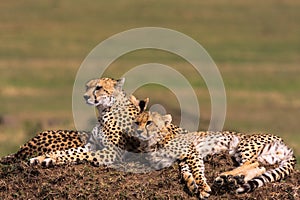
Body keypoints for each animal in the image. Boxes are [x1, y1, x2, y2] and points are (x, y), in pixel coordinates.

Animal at [134, 111, 298, 199]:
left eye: (149, 122)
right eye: (137, 122)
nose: (138, 131)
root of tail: (286, 145)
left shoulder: (193, 152)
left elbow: (197, 171)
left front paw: (203, 188)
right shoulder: (184, 159)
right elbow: (186, 172)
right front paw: (192, 185)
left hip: (243, 144)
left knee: (254, 163)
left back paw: (225, 177)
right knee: (260, 167)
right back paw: (235, 179)